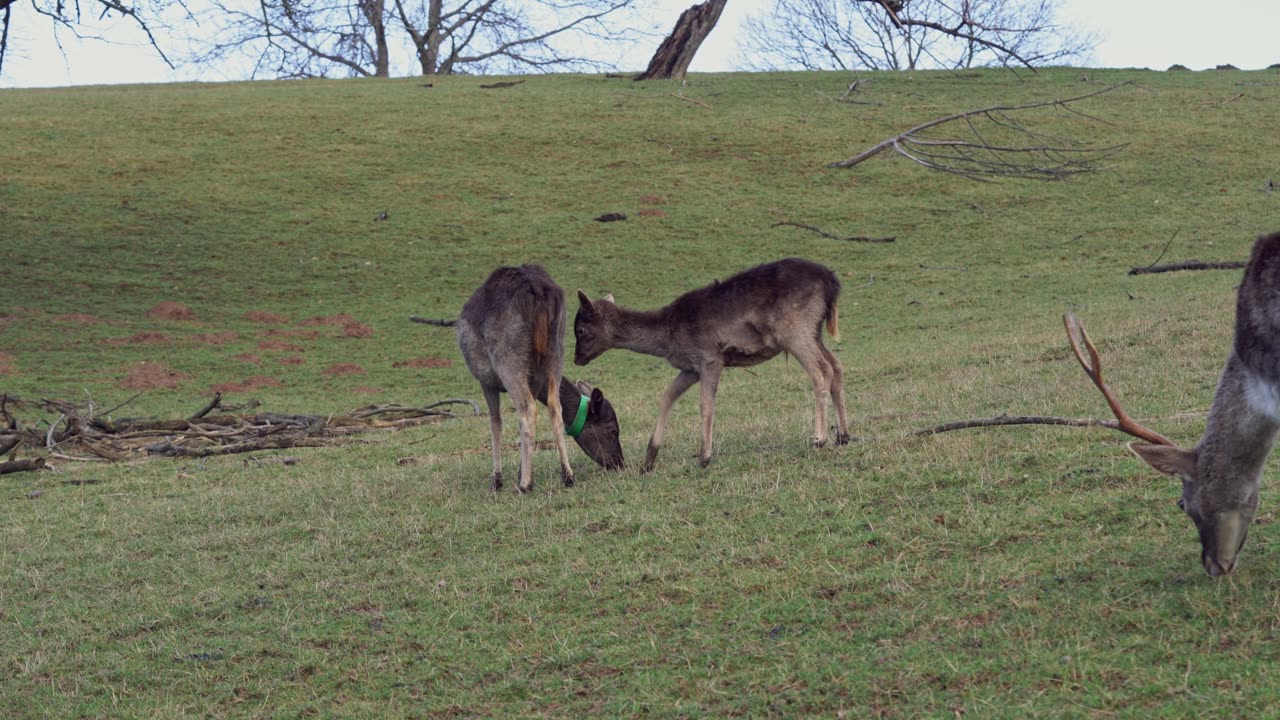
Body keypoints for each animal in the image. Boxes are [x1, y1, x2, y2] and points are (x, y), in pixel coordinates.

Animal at [455, 265, 624, 491]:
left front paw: (498, 481)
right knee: (554, 406)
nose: (620, 462)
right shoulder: (534, 381)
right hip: (557, 347)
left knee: (528, 409)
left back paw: (525, 485)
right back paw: (567, 476)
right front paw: (523, 472)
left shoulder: (485, 380)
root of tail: (536, 291)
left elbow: (496, 422)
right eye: (613, 431)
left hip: (508, 357)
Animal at [576, 256, 844, 471]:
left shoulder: (710, 358)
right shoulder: (690, 368)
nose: (577, 359)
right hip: (815, 331)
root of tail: (831, 281)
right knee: (837, 366)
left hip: (795, 330)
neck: (668, 336)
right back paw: (843, 434)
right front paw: (649, 458)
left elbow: (706, 404)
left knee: (821, 370)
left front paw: (704, 457)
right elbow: (666, 397)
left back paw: (819, 438)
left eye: (580, 330)